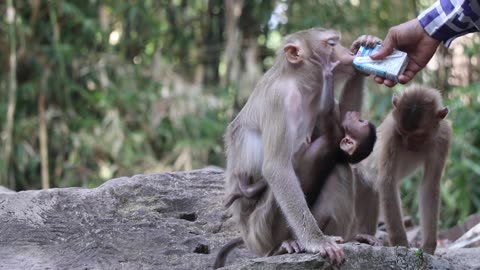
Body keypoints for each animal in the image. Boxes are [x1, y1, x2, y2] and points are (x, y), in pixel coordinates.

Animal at [220, 29, 378, 266]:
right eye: (331, 44)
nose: (348, 53)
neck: (301, 85)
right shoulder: (278, 100)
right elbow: (276, 167)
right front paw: (316, 241)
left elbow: (344, 121)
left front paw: (366, 44)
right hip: (260, 232)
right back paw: (282, 245)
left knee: (339, 167)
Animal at [354, 85, 452, 254]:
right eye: (402, 133)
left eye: (417, 136)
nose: (408, 145)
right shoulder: (392, 135)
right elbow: (387, 182)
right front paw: (401, 244)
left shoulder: (443, 137)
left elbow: (430, 185)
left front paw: (428, 247)